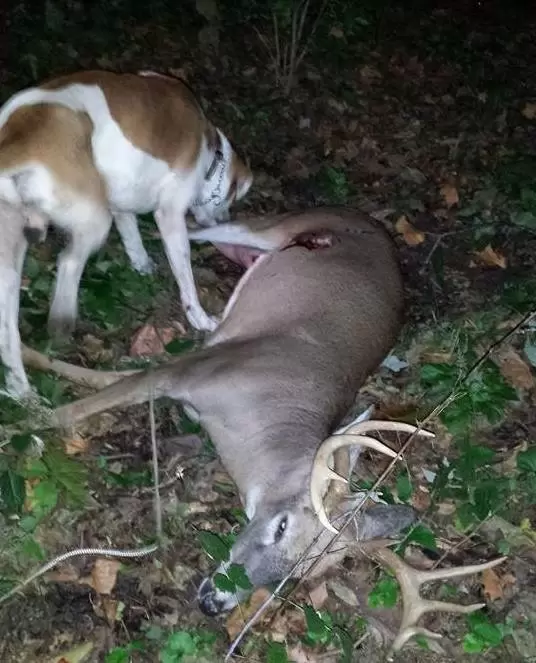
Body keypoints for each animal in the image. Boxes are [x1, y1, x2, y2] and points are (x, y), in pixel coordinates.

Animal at [20, 206, 505, 655]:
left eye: (295, 574)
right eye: (281, 525)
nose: (214, 603)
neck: (252, 417)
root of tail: (372, 224)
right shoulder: (192, 368)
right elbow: (77, 401)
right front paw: (26, 403)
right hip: (268, 226)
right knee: (184, 228)